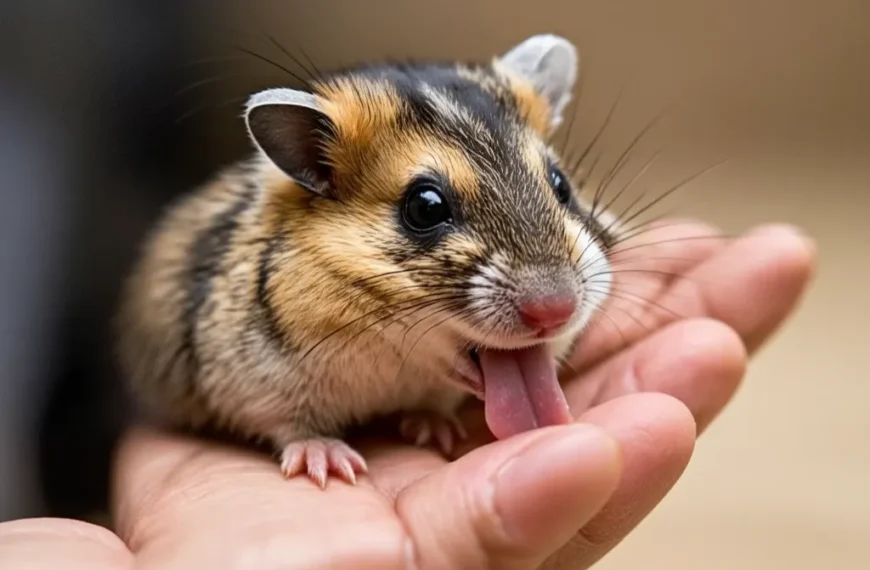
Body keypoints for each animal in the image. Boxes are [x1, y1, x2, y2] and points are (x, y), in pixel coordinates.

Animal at [116, 34, 616, 488]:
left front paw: (434, 429)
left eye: (561, 184)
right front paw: (329, 463)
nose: (555, 312)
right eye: (425, 207)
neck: (395, 357)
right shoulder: (251, 383)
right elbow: (290, 425)